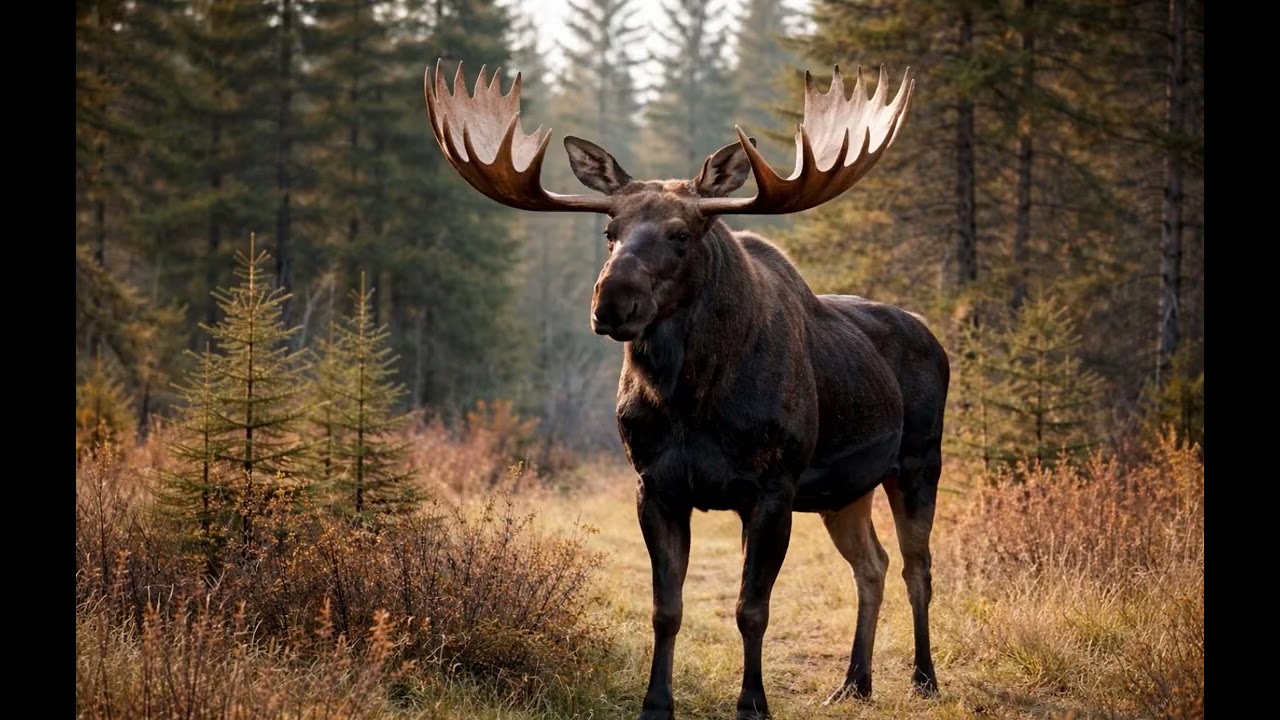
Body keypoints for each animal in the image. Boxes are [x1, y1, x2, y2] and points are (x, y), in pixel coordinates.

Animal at [424, 59, 948, 720]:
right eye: (610, 231)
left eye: (681, 233)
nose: (611, 302)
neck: (692, 400)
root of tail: (933, 336)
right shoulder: (657, 485)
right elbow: (666, 609)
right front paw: (656, 703)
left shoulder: (772, 488)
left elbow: (752, 610)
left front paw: (753, 704)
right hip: (843, 490)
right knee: (872, 566)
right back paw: (854, 683)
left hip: (919, 461)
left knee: (916, 567)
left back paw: (924, 678)